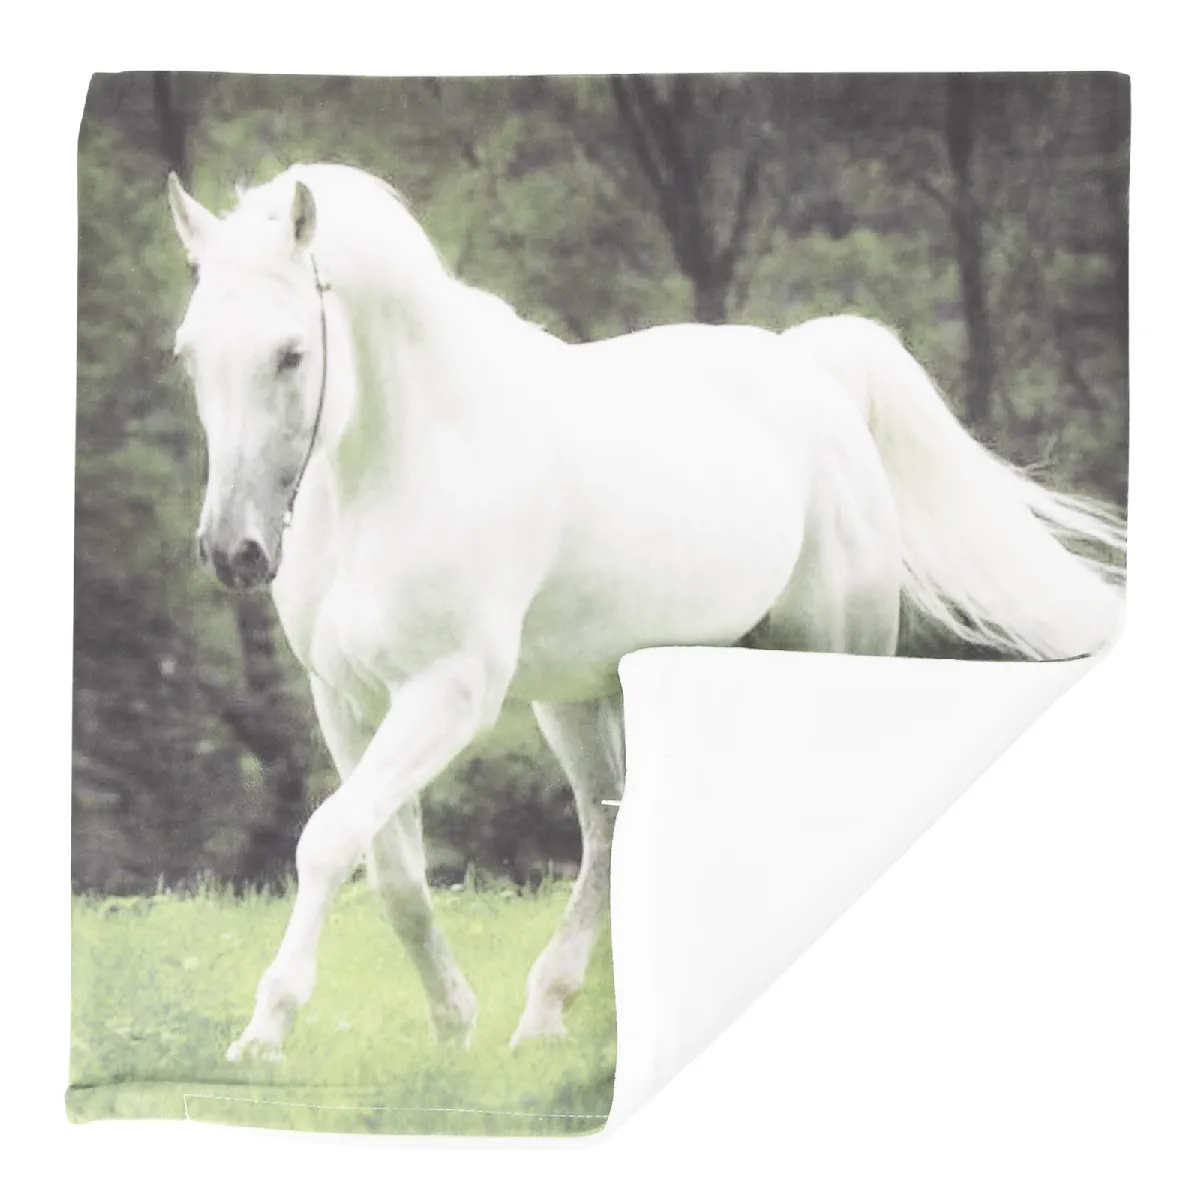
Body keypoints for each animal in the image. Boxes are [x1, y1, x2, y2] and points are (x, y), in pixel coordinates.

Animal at [164, 163, 1125, 1062]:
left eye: (291, 354)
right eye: (189, 353)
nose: (230, 552)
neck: (403, 463)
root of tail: (812, 373)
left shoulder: (447, 694)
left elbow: (327, 840)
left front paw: (265, 1032)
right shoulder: (347, 700)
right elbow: (391, 865)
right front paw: (452, 1023)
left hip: (824, 653)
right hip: (586, 698)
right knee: (611, 830)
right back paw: (546, 1015)